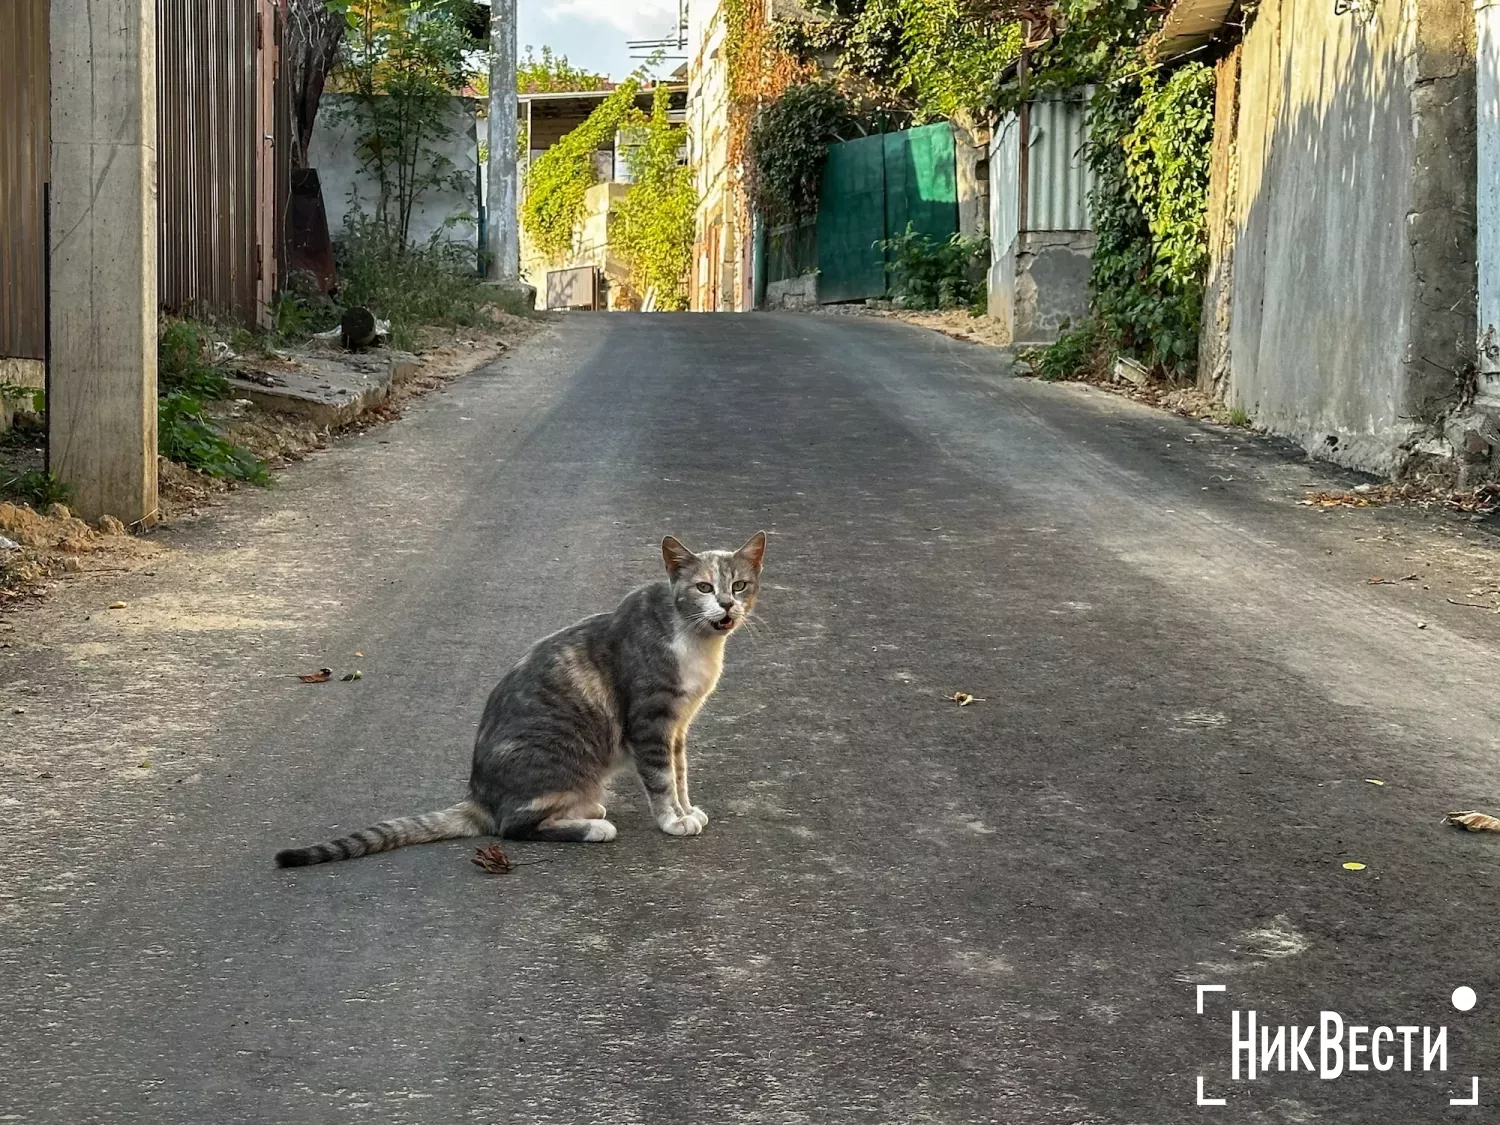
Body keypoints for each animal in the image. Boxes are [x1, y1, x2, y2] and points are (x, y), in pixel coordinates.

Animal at [276, 534, 768, 870]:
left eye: (740, 585)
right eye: (703, 588)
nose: (727, 605)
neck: (695, 641)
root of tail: (480, 795)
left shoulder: (677, 726)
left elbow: (679, 774)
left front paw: (687, 809)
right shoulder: (650, 722)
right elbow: (661, 779)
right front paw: (672, 820)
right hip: (556, 758)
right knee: (514, 826)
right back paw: (592, 825)